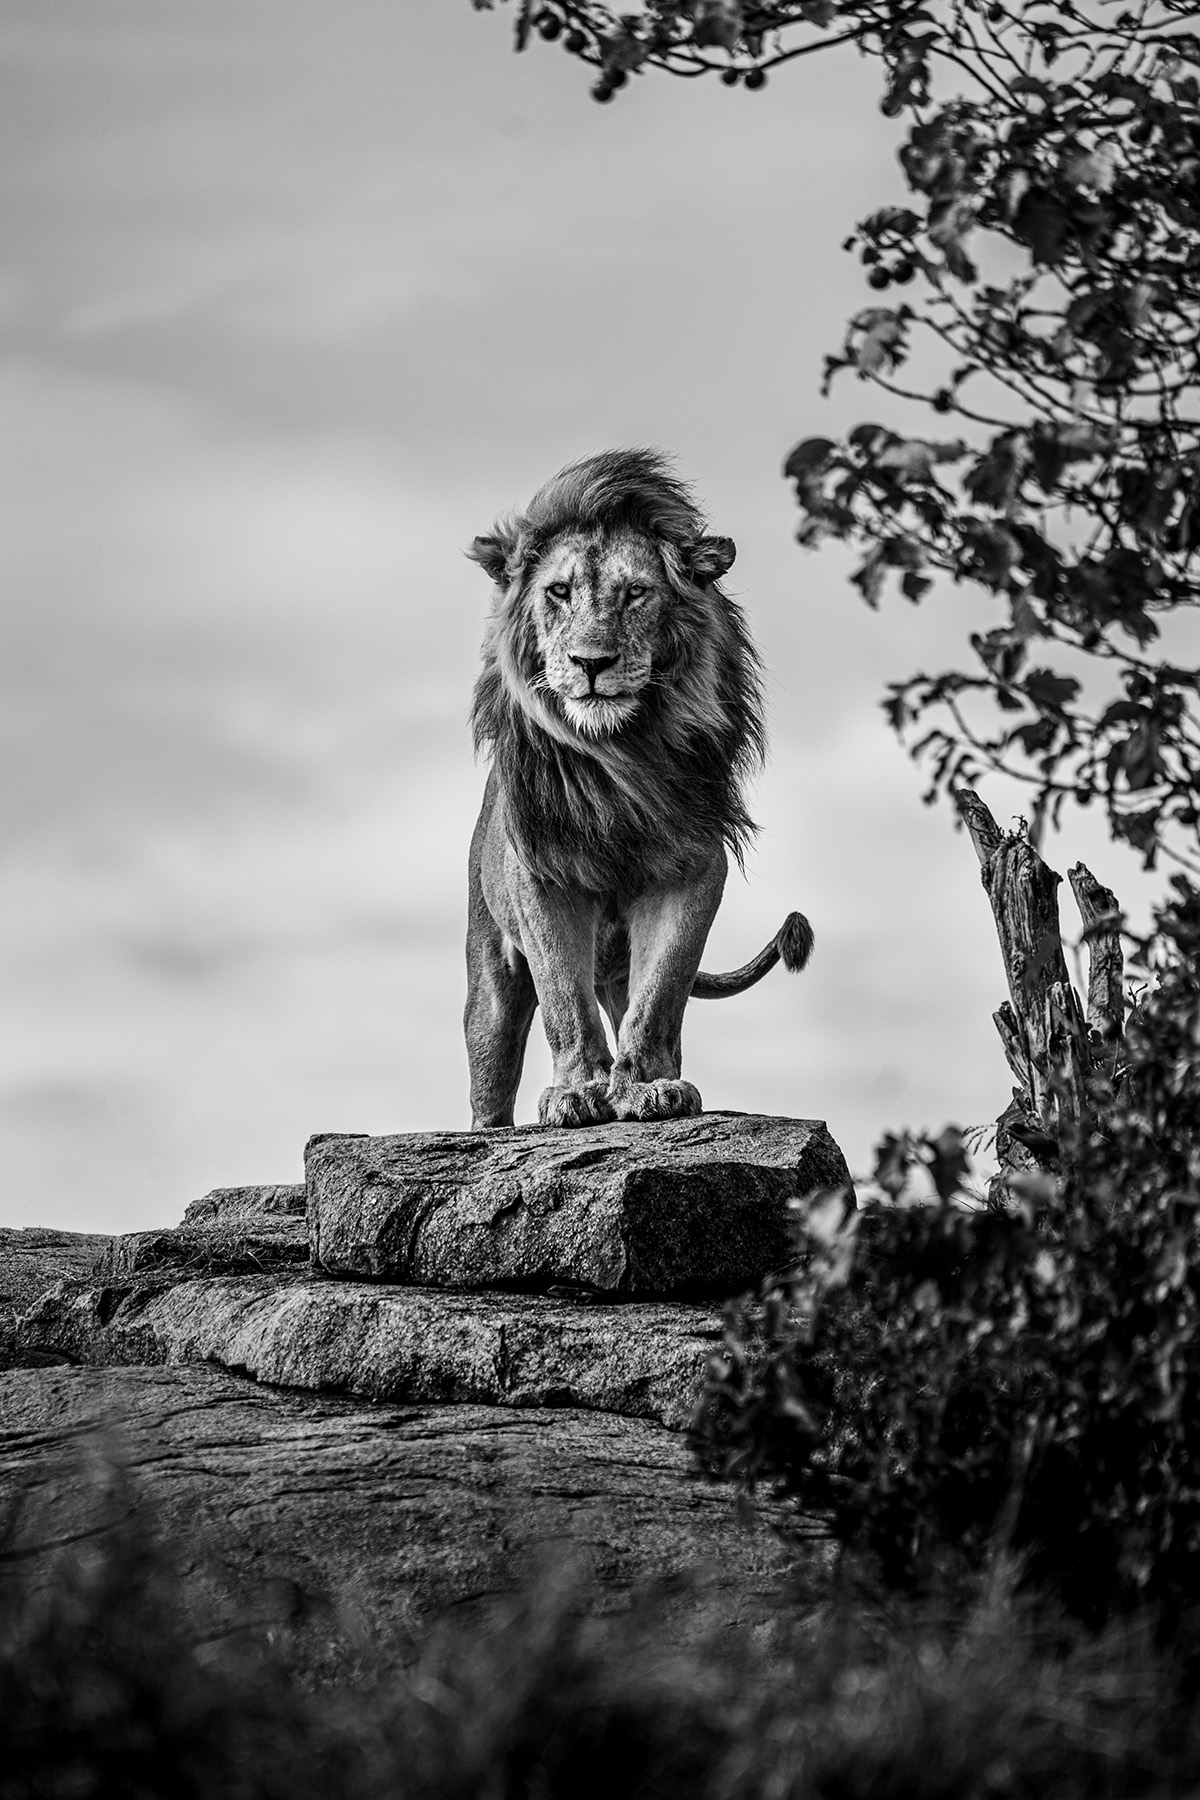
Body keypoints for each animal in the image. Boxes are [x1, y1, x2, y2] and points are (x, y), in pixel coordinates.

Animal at [464, 448, 812, 1129]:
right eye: (558, 591)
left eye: (635, 593)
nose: (591, 663)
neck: (620, 761)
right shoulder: (542, 879)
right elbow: (563, 998)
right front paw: (577, 1092)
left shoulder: (692, 867)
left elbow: (662, 992)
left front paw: (649, 1087)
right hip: (488, 975)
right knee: (491, 1068)